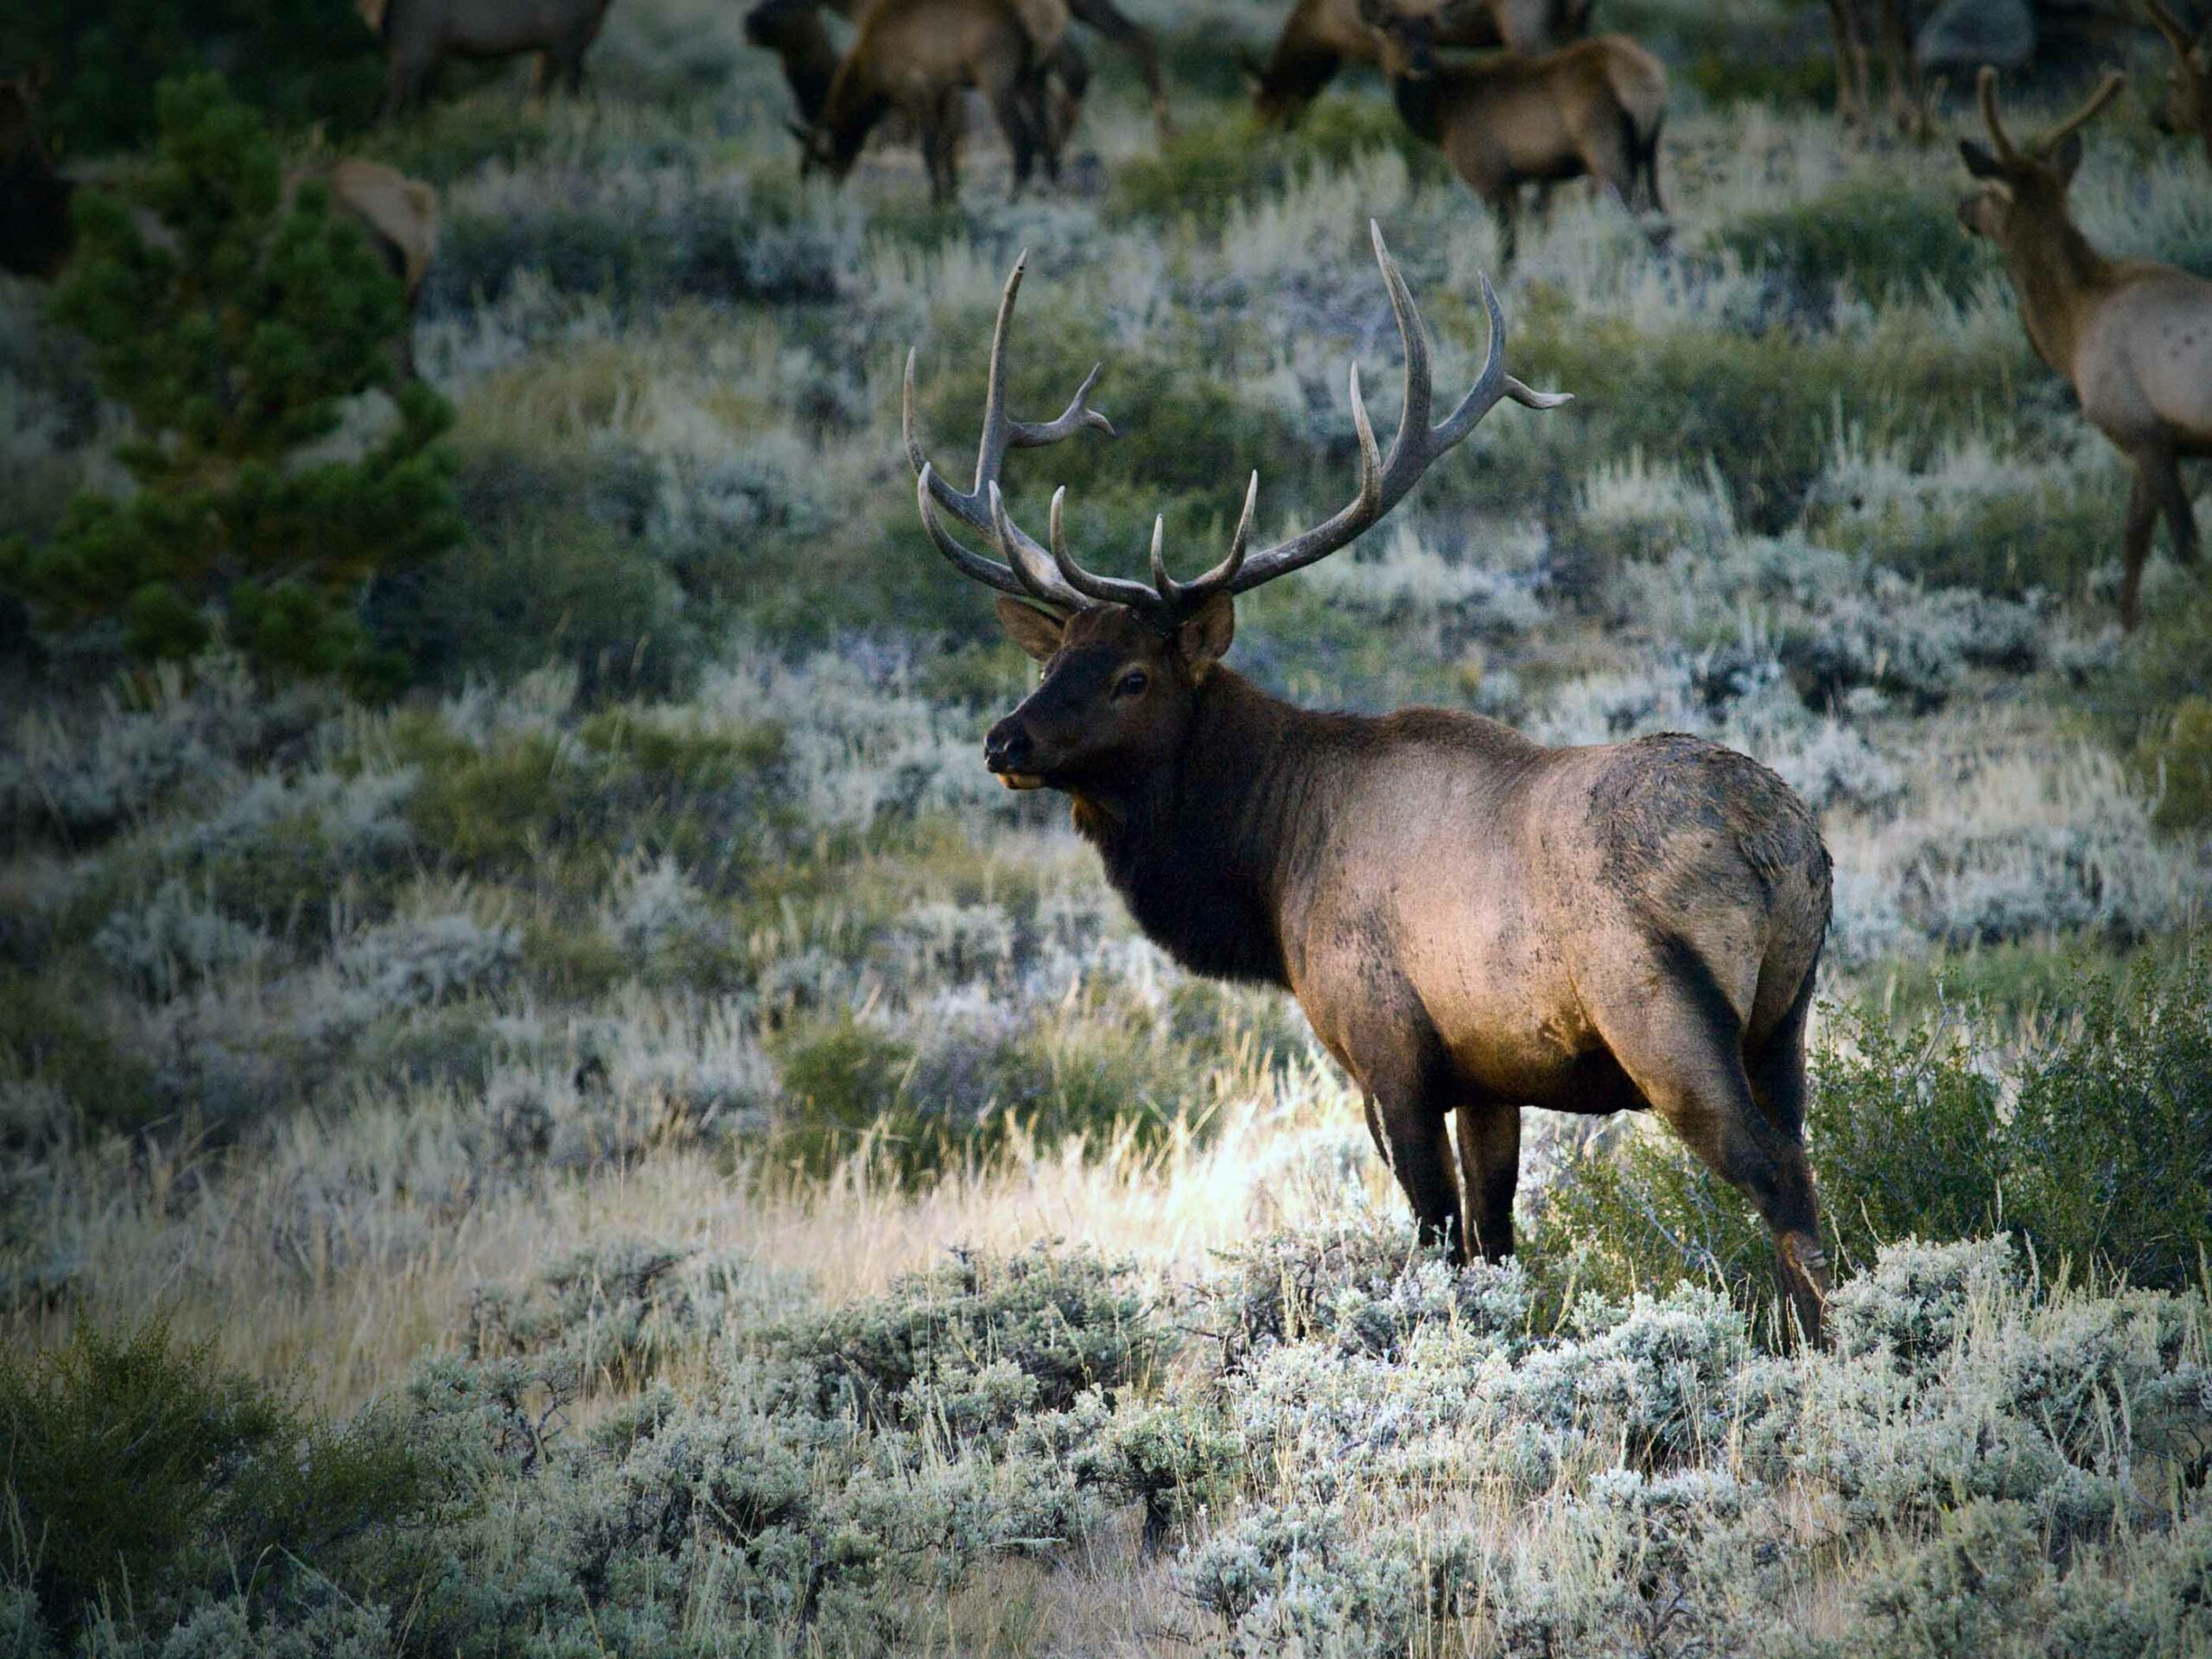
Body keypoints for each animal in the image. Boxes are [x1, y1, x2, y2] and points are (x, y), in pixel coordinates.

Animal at [366, 0, 619, 119]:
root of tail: (383, 13)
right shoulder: (567, 40)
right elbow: (578, 96)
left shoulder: (549, 47)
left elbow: (539, 96)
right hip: (414, 46)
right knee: (390, 102)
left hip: (424, 51)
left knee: (411, 98)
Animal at [906, 224, 1840, 1336]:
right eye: (1052, 660)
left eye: (1133, 676)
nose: (1004, 741)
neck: (1269, 866)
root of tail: (1777, 843)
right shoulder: (1487, 1072)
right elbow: (1496, 1238)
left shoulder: (1384, 1049)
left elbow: (1436, 1235)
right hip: (1787, 1015)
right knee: (1806, 1165)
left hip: (1666, 1015)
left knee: (1776, 1182)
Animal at [1353, 0, 1663, 263]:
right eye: (1392, 33)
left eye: (1430, 35)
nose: (1421, 64)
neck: (1442, 118)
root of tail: (1648, 78)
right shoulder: (1513, 181)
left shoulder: (1491, 175)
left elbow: (1506, 250)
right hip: (1649, 154)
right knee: (1662, 218)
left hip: (1606, 150)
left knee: (1647, 222)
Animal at [1964, 67, 2202, 628]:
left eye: (1986, 186)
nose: (1961, 208)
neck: (2072, 328)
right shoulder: (2154, 441)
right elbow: (2135, 541)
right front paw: (2127, 624)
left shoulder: (2142, 430)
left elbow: (2180, 545)